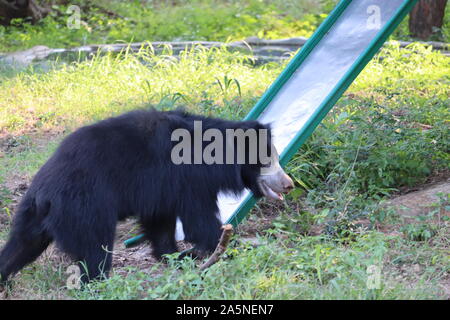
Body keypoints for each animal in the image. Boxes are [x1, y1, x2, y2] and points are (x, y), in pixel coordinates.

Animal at [0, 109, 294, 284]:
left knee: (21, 246)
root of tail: (44, 192)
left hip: (32, 216)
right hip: (84, 206)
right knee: (95, 249)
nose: (289, 184)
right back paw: (99, 282)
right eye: (269, 160)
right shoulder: (190, 180)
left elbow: (160, 222)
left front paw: (176, 257)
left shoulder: (162, 189)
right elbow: (199, 222)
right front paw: (234, 249)